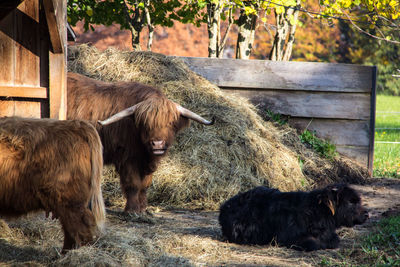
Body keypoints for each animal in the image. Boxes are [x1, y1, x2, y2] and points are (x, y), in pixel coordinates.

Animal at [67, 72, 214, 215]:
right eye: (145, 124)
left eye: (171, 123)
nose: (158, 144)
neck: (145, 152)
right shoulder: (127, 158)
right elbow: (133, 184)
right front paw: (132, 210)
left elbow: (145, 185)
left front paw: (143, 209)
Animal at [219, 184, 368, 251]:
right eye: (351, 202)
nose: (366, 214)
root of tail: (225, 206)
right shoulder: (287, 238)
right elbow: (314, 243)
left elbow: (335, 240)